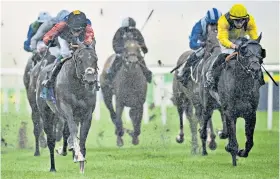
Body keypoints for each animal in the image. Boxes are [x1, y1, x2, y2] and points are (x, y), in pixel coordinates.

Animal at [35, 43, 98, 172]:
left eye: (96, 59)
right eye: (80, 60)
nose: (90, 79)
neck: (78, 87)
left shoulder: (87, 113)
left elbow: (82, 135)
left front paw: (81, 163)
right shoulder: (67, 109)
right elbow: (73, 129)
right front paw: (78, 155)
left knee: (64, 132)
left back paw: (64, 150)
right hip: (46, 113)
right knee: (51, 140)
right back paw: (52, 167)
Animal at [199, 34, 264, 166]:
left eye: (260, 52)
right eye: (244, 52)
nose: (255, 69)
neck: (241, 86)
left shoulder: (250, 114)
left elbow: (250, 141)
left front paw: (241, 152)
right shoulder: (230, 112)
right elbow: (233, 141)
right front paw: (233, 156)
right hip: (207, 105)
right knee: (203, 128)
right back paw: (204, 150)